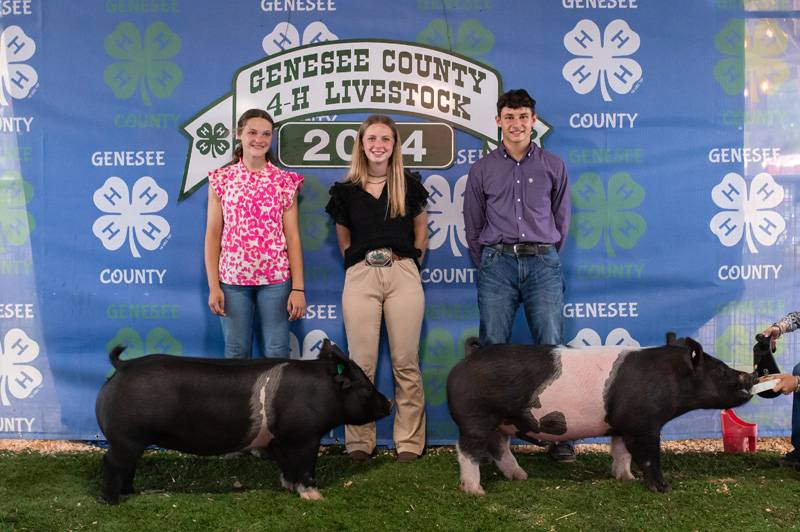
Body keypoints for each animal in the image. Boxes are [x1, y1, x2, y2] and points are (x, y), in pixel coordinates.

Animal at [95, 338, 392, 504]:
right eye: (366, 386)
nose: (388, 404)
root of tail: (123, 367)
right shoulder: (305, 436)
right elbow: (306, 466)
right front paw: (316, 498)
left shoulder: (279, 440)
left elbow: (287, 466)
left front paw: (288, 487)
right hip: (125, 437)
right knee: (111, 463)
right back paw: (112, 502)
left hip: (132, 441)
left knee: (127, 466)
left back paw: (132, 493)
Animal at [446, 332, 760, 494]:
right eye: (719, 369)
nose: (750, 375)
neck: (669, 378)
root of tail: (468, 357)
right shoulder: (644, 424)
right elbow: (648, 456)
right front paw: (663, 488)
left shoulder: (623, 425)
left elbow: (621, 453)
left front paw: (626, 479)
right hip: (475, 418)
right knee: (467, 451)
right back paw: (475, 491)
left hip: (502, 422)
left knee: (499, 448)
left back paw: (521, 477)